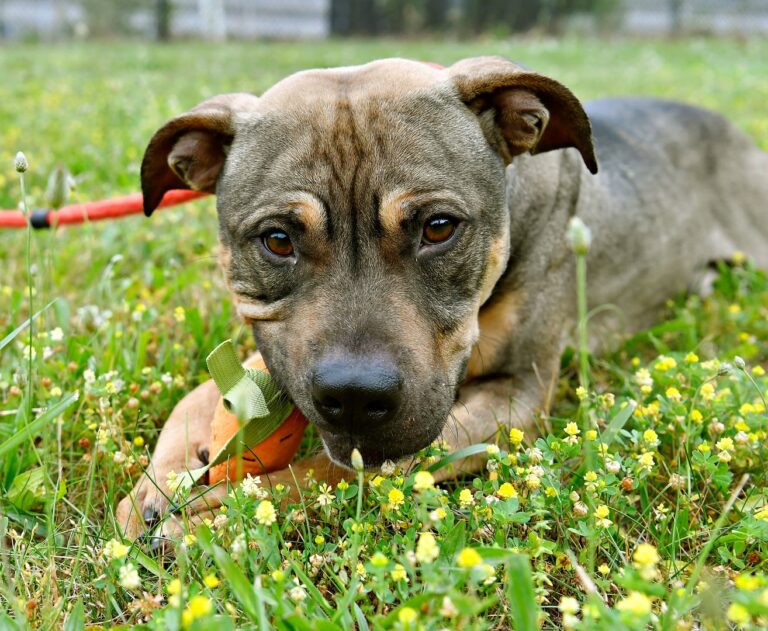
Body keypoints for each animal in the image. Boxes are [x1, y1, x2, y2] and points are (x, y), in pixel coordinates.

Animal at [115, 56, 768, 540]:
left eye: (438, 228)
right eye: (277, 240)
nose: (355, 397)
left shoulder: (516, 393)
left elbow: (334, 468)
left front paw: (224, 513)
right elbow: (198, 395)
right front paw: (159, 479)